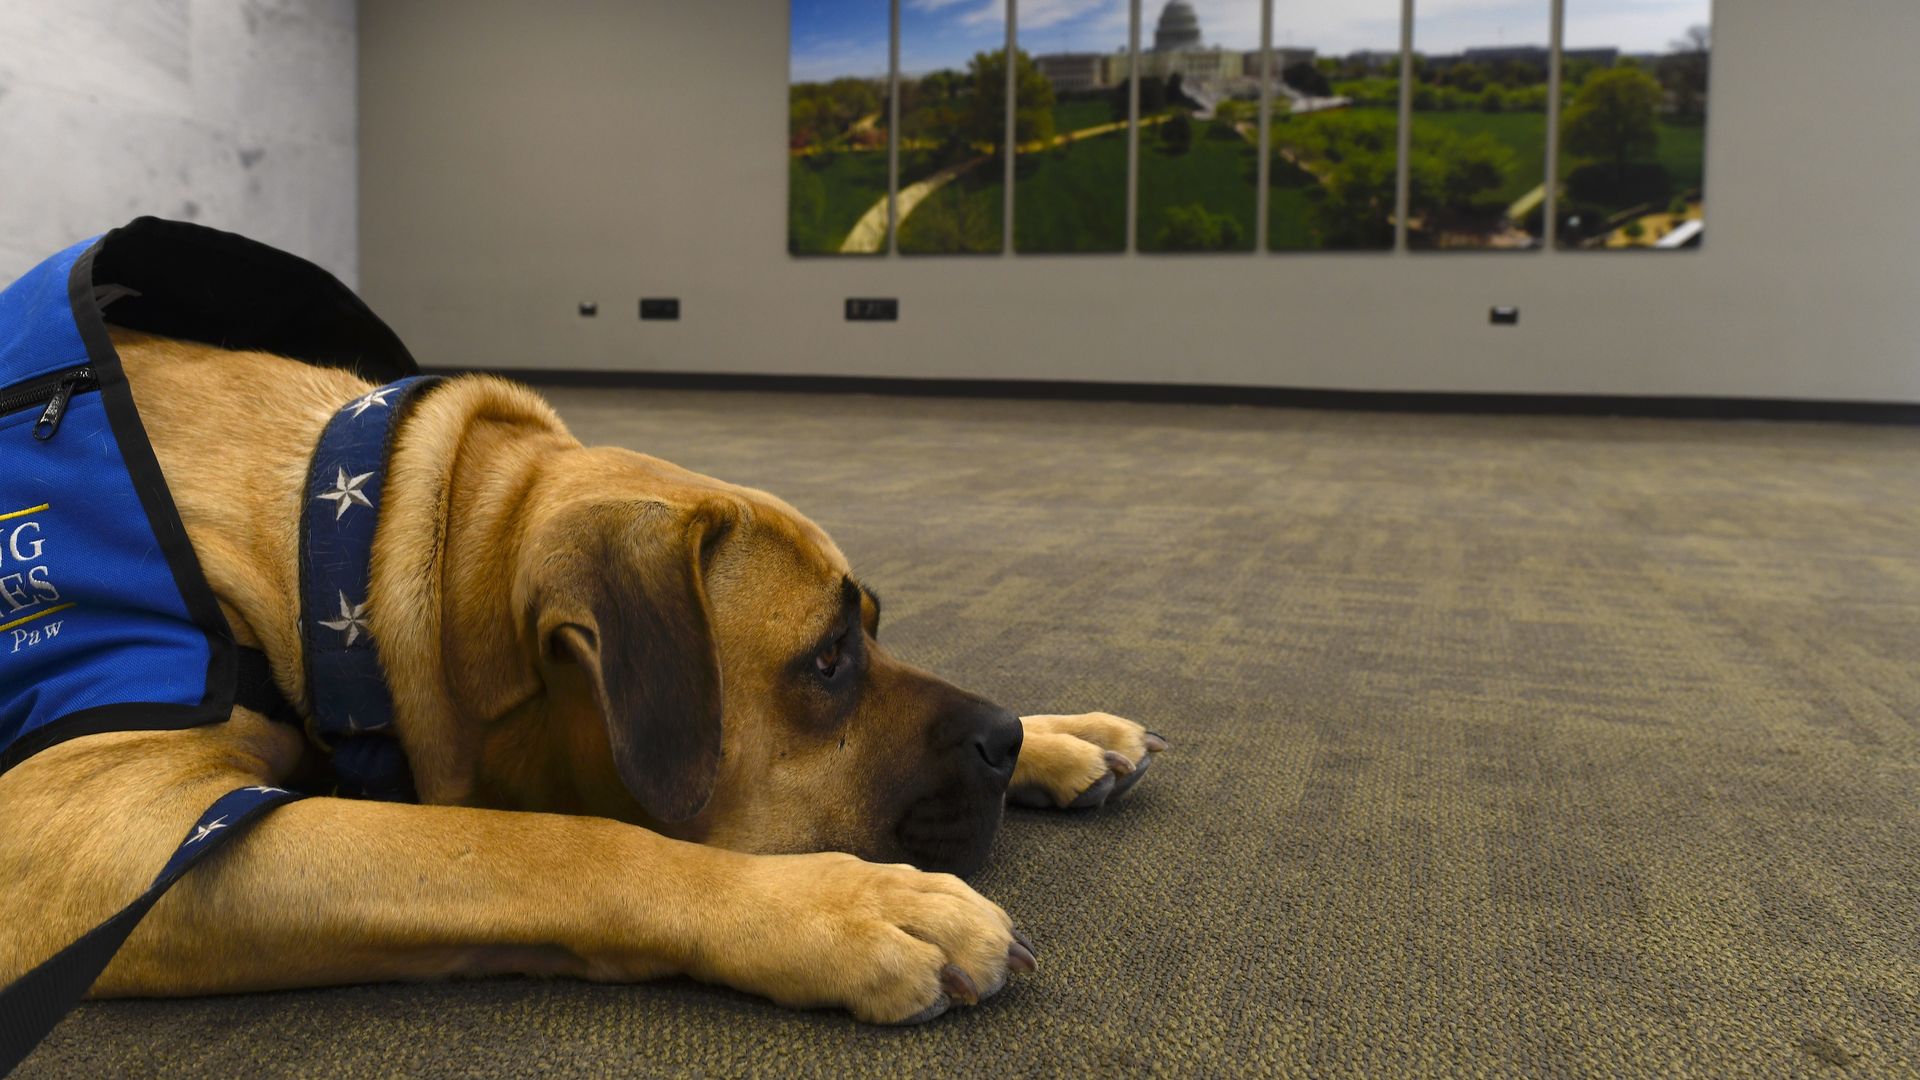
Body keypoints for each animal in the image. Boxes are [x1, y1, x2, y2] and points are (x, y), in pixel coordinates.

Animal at [0, 322, 1164, 1029]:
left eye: (870, 632)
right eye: (827, 658)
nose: (1003, 737)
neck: (357, 544)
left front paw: (1063, 736)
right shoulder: (99, 840)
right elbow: (551, 847)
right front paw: (831, 905)